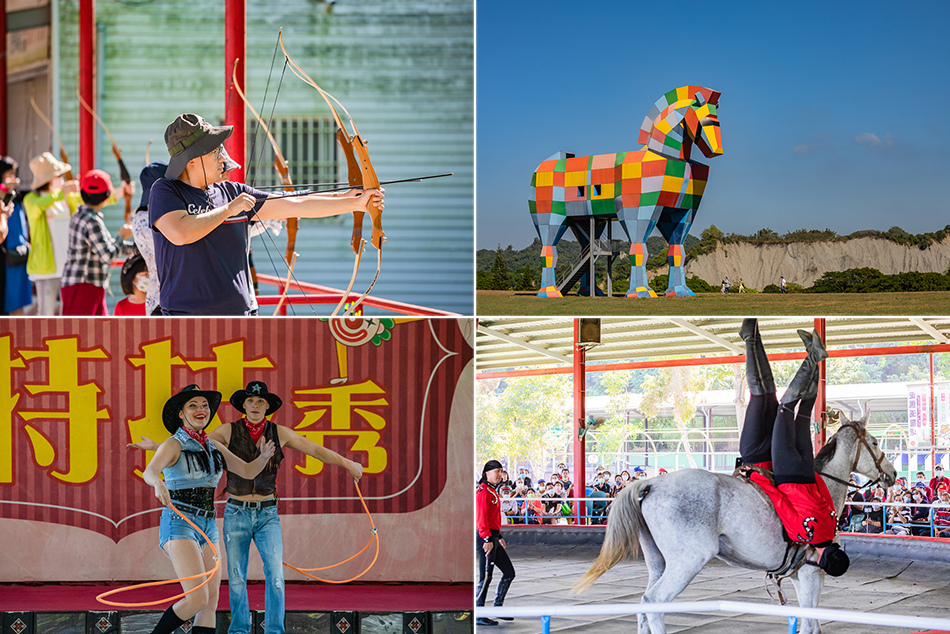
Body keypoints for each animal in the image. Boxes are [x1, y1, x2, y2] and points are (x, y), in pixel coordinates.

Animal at [576, 414, 896, 632]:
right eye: (875, 442)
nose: (892, 473)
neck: (823, 489)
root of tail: (651, 484)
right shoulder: (811, 573)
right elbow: (810, 624)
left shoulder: (797, 577)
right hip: (687, 561)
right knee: (654, 603)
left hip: (657, 562)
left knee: (643, 606)